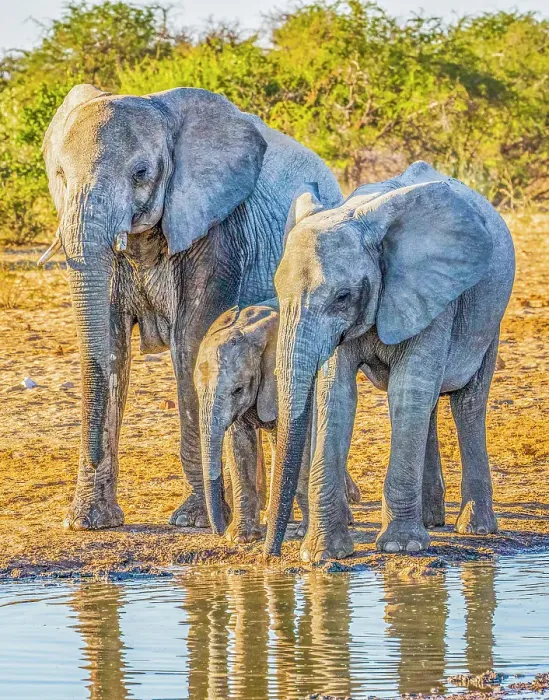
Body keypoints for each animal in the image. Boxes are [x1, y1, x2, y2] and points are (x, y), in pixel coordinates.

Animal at [40, 83, 342, 530]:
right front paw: (87, 521)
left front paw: (194, 519)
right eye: (60, 175)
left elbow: (190, 341)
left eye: (141, 172)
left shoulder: (218, 232)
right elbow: (112, 347)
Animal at [194, 301, 361, 542]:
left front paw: (303, 533)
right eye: (198, 390)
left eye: (237, 390)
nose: (219, 531)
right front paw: (240, 537)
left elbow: (301, 448)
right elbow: (239, 446)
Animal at [264, 161, 515, 561]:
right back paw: (432, 521)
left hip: (489, 317)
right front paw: (321, 554)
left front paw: (402, 546)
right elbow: (336, 394)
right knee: (429, 402)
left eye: (342, 296)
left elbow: (406, 390)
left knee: (466, 404)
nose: (269, 556)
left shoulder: (433, 294)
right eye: (277, 293)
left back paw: (474, 528)